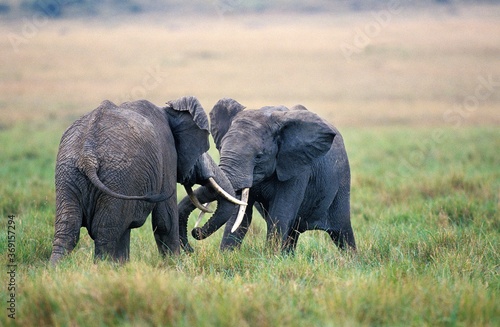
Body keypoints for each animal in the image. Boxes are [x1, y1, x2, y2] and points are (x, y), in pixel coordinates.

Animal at [50, 96, 244, 264]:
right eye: (201, 150)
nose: (195, 234)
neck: (168, 111)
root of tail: (88, 154)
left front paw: (121, 268)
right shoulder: (167, 155)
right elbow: (165, 221)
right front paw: (176, 268)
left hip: (69, 174)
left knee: (68, 229)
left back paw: (57, 270)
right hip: (117, 176)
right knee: (105, 232)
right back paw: (101, 269)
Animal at [184, 98, 356, 255]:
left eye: (259, 156)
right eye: (221, 148)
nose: (195, 231)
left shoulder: (297, 167)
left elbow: (279, 214)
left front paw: (271, 258)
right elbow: (240, 216)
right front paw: (226, 256)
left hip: (342, 180)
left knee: (342, 231)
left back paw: (351, 261)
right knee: (293, 233)